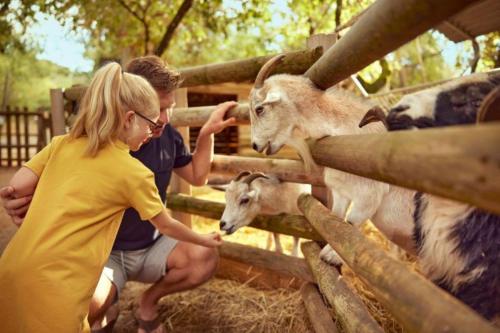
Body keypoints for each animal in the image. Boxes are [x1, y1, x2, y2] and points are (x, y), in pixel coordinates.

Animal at [249, 55, 500, 320]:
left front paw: (331, 255)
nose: (255, 145)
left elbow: (352, 223)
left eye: (259, 108)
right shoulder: (341, 192)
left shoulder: (368, 195)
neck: (349, 134)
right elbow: (335, 220)